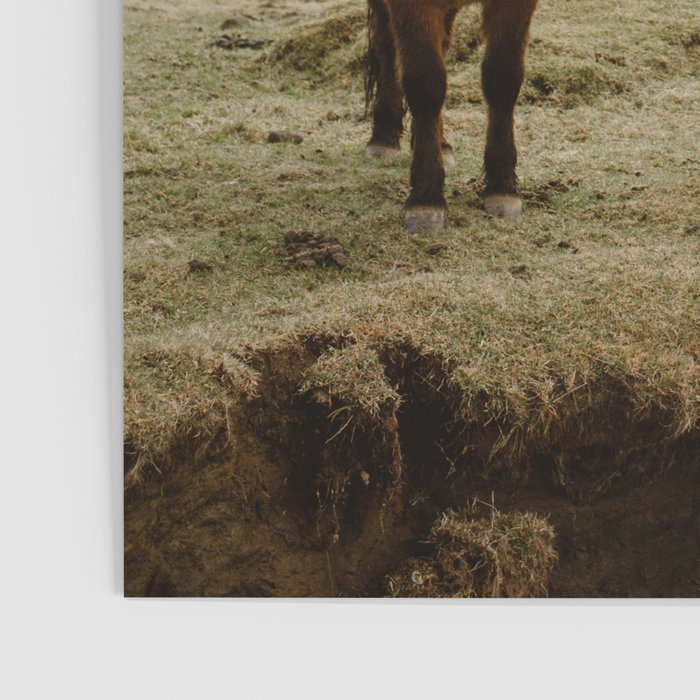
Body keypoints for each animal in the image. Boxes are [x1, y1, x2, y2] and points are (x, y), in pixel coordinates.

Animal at [365, 0, 539, 232]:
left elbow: (502, 79)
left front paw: (502, 186)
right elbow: (425, 86)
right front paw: (426, 197)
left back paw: (441, 144)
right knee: (387, 47)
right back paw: (383, 136)